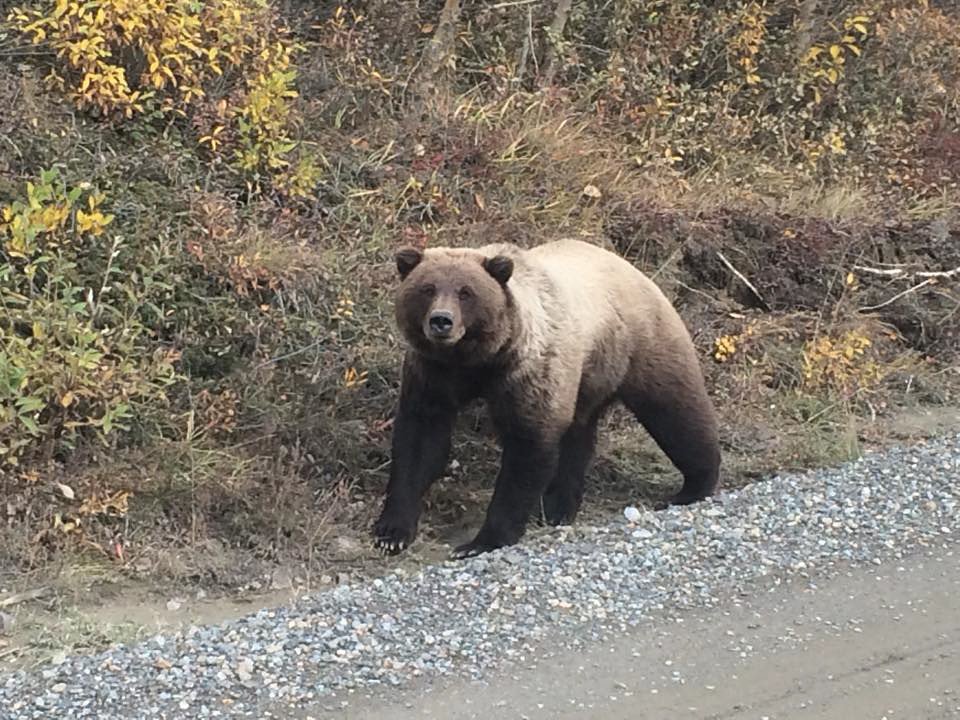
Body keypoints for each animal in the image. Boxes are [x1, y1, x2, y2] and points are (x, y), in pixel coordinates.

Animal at [373, 238, 721, 559]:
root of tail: (632, 268)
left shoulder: (527, 371)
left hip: (640, 344)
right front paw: (391, 532)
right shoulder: (433, 374)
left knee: (675, 410)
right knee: (578, 436)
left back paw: (694, 485)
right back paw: (558, 506)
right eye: (427, 288)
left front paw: (481, 541)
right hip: (586, 376)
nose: (441, 321)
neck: (477, 360)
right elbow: (420, 442)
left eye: (466, 292)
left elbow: (527, 449)